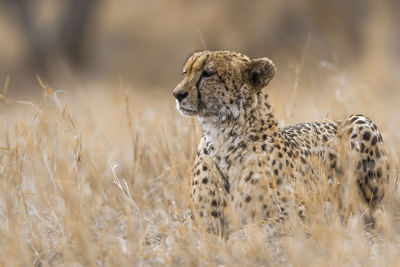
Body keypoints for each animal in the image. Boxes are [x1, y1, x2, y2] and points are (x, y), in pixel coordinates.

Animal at [172, 49, 388, 237]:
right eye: (185, 72)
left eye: (208, 73)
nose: (177, 94)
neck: (222, 137)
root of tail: (334, 121)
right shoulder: (198, 219)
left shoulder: (305, 211)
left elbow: (255, 228)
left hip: (360, 123)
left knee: (370, 209)